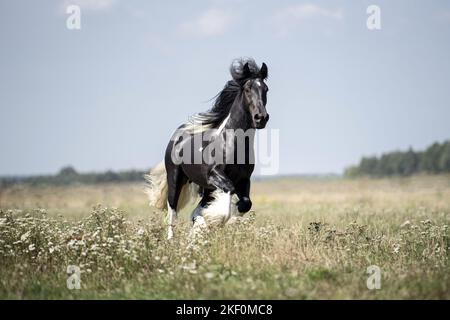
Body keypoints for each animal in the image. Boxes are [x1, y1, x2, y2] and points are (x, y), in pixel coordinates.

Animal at [146, 57, 268, 239]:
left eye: (266, 89)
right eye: (247, 89)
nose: (261, 118)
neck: (231, 143)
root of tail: (177, 136)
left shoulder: (244, 180)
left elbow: (245, 203)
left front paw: (209, 222)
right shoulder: (215, 175)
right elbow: (227, 197)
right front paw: (213, 220)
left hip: (206, 188)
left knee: (195, 210)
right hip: (175, 178)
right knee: (172, 211)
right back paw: (172, 239)